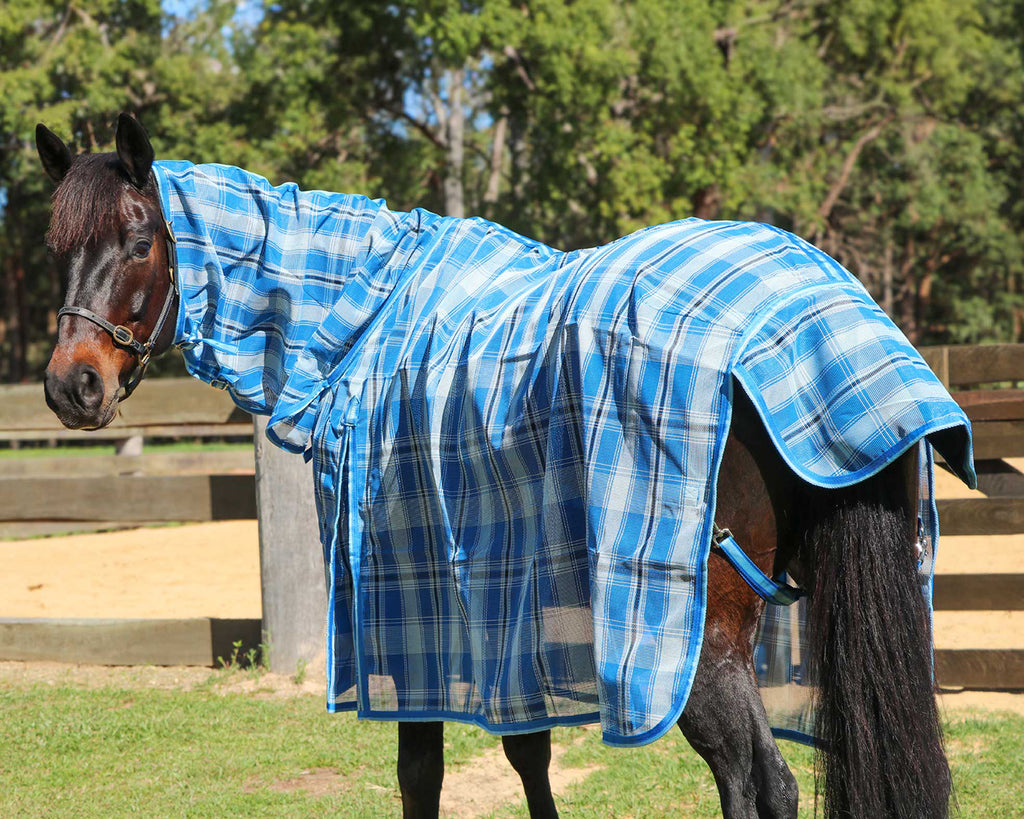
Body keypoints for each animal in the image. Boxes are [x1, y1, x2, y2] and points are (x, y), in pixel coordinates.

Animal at [36, 115, 970, 818]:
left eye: (139, 240)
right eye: (55, 247)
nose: (70, 385)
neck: (367, 320)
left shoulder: (408, 616)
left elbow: (421, 773)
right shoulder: (497, 617)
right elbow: (528, 756)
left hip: (693, 640)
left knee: (752, 783)